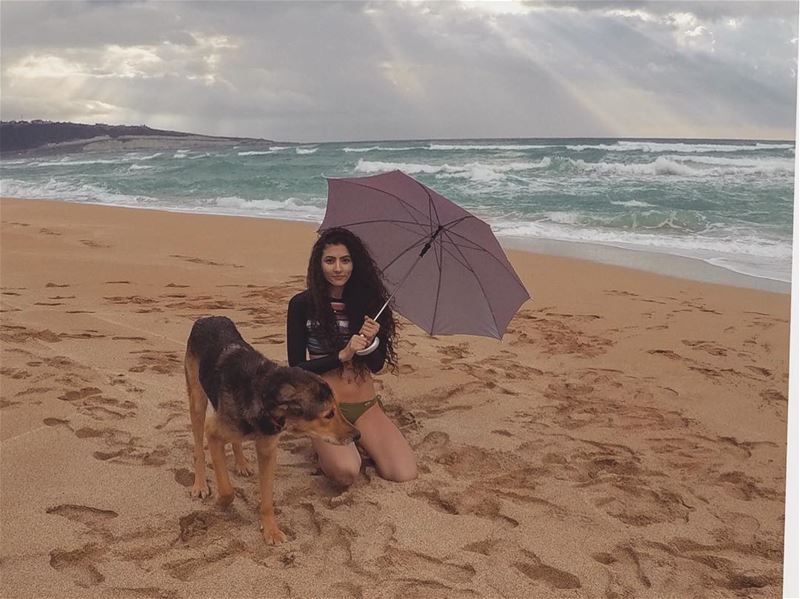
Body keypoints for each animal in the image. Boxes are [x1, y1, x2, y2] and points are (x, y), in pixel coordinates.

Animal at [184, 316, 360, 548]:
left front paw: (271, 530)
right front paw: (220, 503)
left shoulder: (268, 450)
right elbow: (227, 490)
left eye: (337, 409)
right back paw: (200, 484)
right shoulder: (212, 432)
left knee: (235, 441)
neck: (262, 392)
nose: (357, 435)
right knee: (199, 449)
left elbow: (267, 498)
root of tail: (207, 318)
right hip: (197, 401)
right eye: (328, 414)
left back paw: (241, 463)